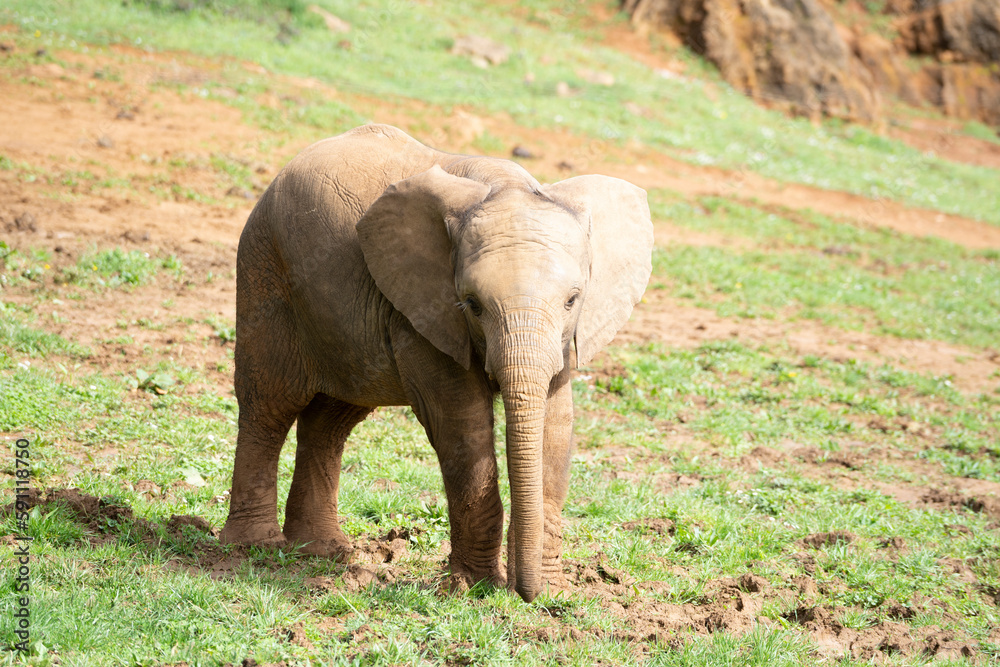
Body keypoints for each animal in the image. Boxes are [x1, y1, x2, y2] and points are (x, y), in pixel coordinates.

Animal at [219, 124, 653, 602]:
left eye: (572, 300)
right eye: (472, 304)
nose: (523, 592)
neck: (506, 186)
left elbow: (556, 425)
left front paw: (554, 595)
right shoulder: (423, 310)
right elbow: (460, 422)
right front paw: (472, 588)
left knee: (332, 420)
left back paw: (323, 551)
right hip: (264, 269)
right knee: (270, 405)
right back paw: (254, 547)